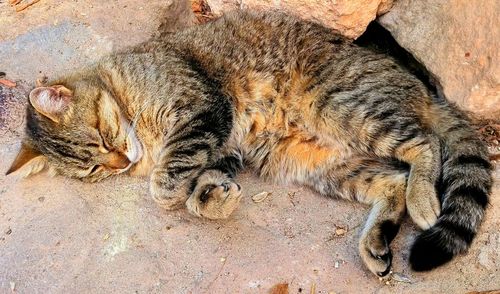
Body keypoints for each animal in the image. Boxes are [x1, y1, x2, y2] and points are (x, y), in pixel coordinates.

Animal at [6, 9, 492, 276]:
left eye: (103, 136)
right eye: (92, 169)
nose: (119, 162)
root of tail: (422, 87)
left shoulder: (203, 109)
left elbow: (165, 186)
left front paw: (175, 191)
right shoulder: (223, 147)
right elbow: (199, 185)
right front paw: (212, 198)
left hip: (346, 109)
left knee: (426, 144)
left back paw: (424, 199)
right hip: (319, 162)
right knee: (392, 181)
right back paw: (375, 242)